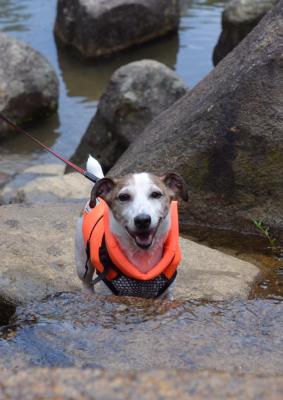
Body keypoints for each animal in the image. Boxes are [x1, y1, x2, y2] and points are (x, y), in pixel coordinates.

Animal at [75, 155, 189, 296]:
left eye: (156, 194)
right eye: (124, 197)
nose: (142, 220)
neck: (143, 256)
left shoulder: (166, 294)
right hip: (82, 261)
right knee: (86, 281)